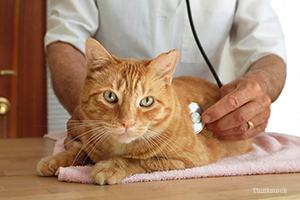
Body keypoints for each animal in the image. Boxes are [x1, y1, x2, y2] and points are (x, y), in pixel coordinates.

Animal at [37, 37, 253, 184]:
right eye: (110, 96)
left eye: (147, 101)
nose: (127, 122)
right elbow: (78, 148)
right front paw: (56, 159)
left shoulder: (187, 160)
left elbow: (141, 161)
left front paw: (110, 165)